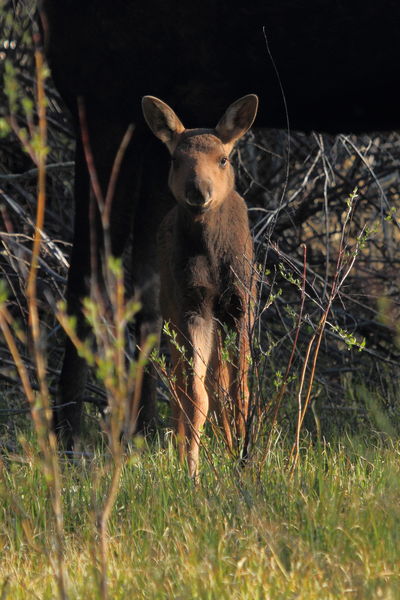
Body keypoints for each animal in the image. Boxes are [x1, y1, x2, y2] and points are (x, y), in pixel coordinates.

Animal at [142, 94, 258, 478]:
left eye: (223, 158)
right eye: (176, 159)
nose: (198, 190)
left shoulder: (241, 304)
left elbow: (240, 387)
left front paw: (244, 453)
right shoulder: (193, 306)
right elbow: (196, 394)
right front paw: (191, 470)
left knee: (219, 379)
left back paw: (230, 444)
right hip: (172, 314)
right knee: (183, 382)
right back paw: (185, 453)